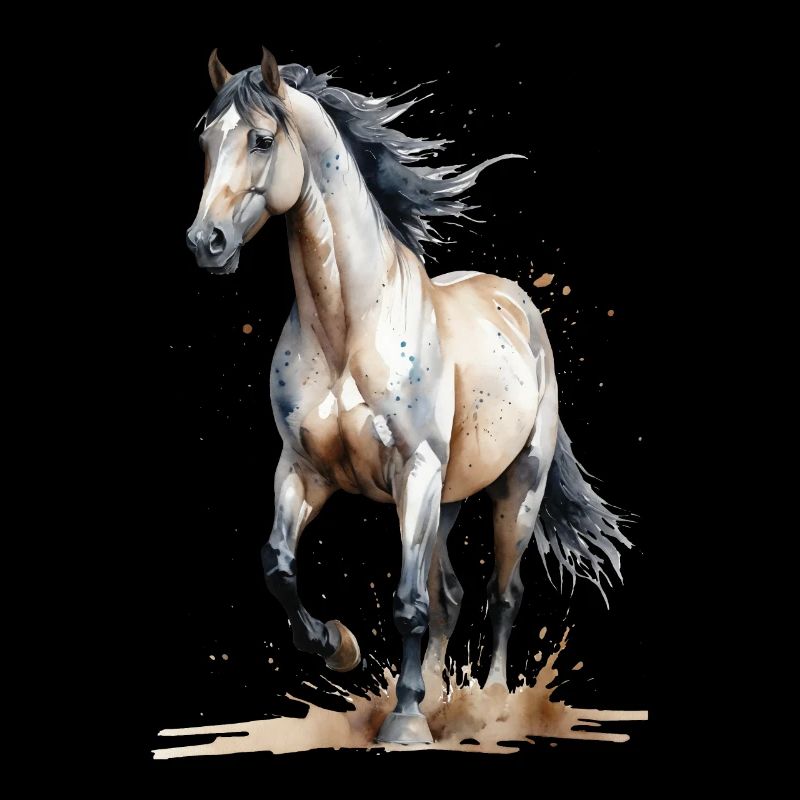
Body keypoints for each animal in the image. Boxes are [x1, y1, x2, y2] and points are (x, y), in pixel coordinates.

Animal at [186, 48, 631, 745]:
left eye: (260, 140)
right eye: (205, 140)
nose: (205, 243)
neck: (348, 329)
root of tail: (518, 305)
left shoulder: (415, 471)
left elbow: (406, 602)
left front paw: (404, 722)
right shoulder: (303, 470)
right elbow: (278, 567)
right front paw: (339, 646)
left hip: (516, 488)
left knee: (504, 593)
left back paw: (487, 705)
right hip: (446, 499)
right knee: (449, 593)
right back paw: (441, 699)